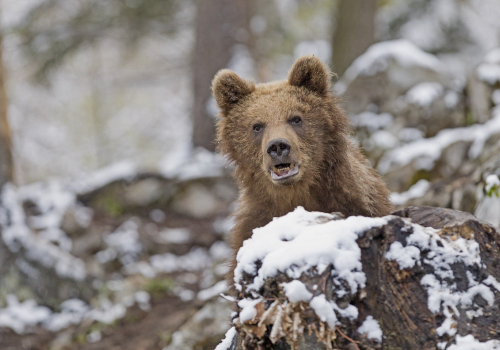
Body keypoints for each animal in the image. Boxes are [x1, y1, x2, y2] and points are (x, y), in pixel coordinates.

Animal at [212, 55, 394, 284]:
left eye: (296, 118)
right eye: (257, 126)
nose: (278, 146)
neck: (296, 195)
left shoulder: (352, 202)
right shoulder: (253, 223)